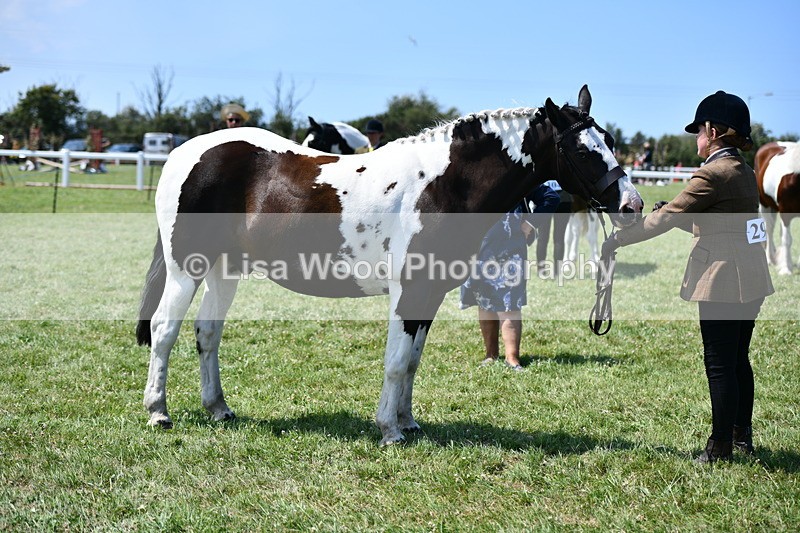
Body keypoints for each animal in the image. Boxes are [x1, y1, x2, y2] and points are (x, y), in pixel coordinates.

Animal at [135, 85, 644, 446]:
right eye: (582, 150)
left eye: (611, 141)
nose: (632, 205)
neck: (442, 185)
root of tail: (185, 152)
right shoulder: (410, 289)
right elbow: (397, 361)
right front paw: (389, 430)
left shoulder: (430, 292)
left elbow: (413, 361)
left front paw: (409, 421)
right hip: (186, 268)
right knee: (164, 329)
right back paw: (158, 411)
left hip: (225, 268)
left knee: (207, 333)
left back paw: (219, 408)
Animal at [756, 141, 800, 275]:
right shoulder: (785, 212)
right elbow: (787, 239)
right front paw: (786, 270)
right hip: (764, 204)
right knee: (769, 229)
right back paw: (769, 259)